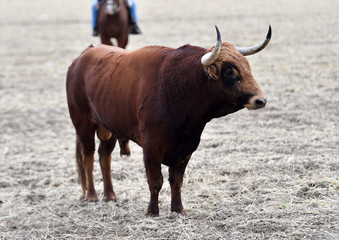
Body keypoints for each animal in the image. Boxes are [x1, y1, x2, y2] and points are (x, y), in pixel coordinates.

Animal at [66, 25, 274, 217]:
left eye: (247, 66)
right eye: (230, 72)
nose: (260, 100)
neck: (178, 88)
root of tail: (80, 59)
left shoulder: (186, 149)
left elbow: (176, 181)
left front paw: (178, 210)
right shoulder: (151, 149)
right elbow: (155, 181)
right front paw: (152, 212)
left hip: (109, 128)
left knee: (104, 156)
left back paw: (110, 195)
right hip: (83, 124)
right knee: (88, 156)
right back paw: (92, 195)